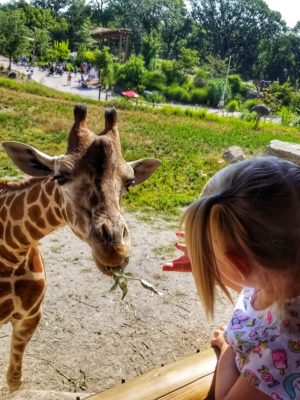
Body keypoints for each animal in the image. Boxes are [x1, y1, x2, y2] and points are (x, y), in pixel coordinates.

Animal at [0, 103, 161, 390]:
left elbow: (14, 380)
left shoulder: (30, 317)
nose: (115, 250)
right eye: (60, 176)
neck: (11, 251)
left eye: (129, 183)